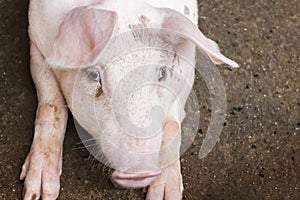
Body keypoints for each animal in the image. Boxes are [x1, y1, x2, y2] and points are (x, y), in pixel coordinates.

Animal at [19, 0, 238, 199]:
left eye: (161, 73)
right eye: (94, 75)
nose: (140, 170)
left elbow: (172, 125)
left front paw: (165, 195)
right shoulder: (36, 39)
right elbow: (51, 106)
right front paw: (38, 193)